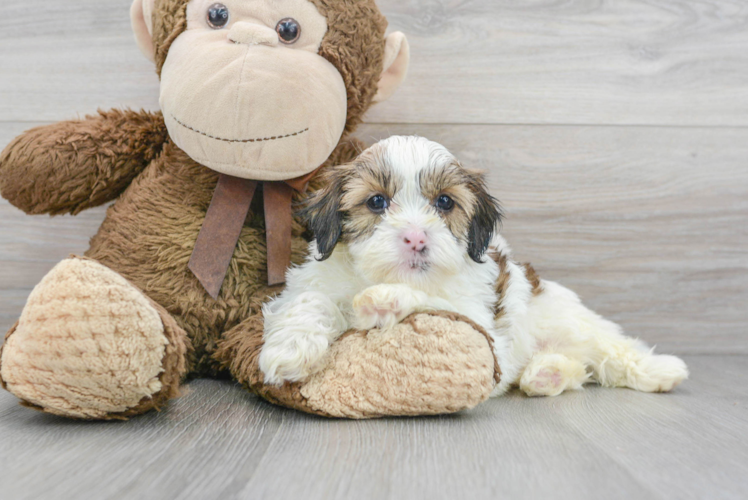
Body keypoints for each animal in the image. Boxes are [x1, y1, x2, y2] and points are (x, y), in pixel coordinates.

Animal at [258, 135, 688, 396]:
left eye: (445, 202)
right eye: (377, 202)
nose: (416, 238)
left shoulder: (481, 329)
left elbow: (439, 306)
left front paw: (385, 300)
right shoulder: (314, 281)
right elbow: (310, 301)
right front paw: (290, 348)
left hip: (574, 322)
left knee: (613, 352)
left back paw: (662, 370)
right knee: (578, 368)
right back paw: (545, 374)